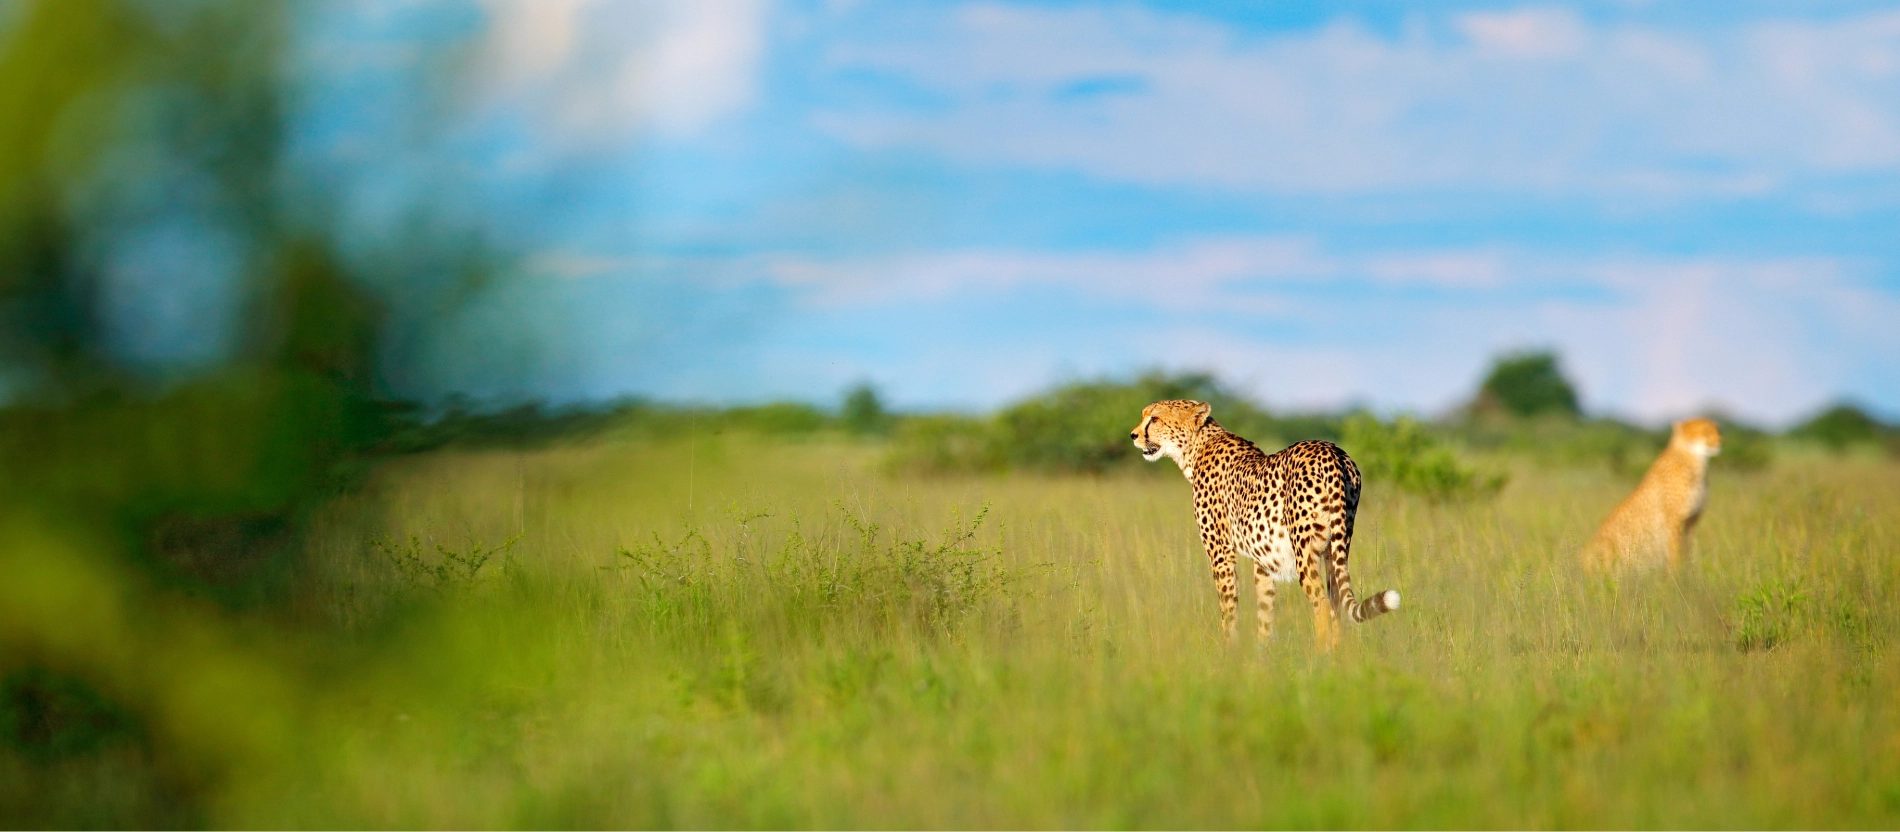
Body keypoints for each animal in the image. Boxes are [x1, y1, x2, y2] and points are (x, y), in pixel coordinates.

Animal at [1132, 399, 1399, 650]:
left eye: (1154, 419)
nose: (1133, 435)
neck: (1196, 446)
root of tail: (1331, 450)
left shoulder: (1221, 552)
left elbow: (1228, 608)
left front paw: (1228, 652)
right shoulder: (1262, 561)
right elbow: (1265, 608)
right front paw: (1262, 654)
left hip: (1304, 549)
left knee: (1322, 603)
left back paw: (1321, 656)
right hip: (1336, 547)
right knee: (1337, 603)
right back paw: (1339, 656)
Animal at [1582, 417, 1722, 572]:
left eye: (1718, 430)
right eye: (1705, 431)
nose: (1720, 441)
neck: (1696, 460)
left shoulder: (1691, 521)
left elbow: (1688, 552)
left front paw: (1689, 573)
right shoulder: (1673, 521)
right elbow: (1675, 553)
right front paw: (1678, 574)